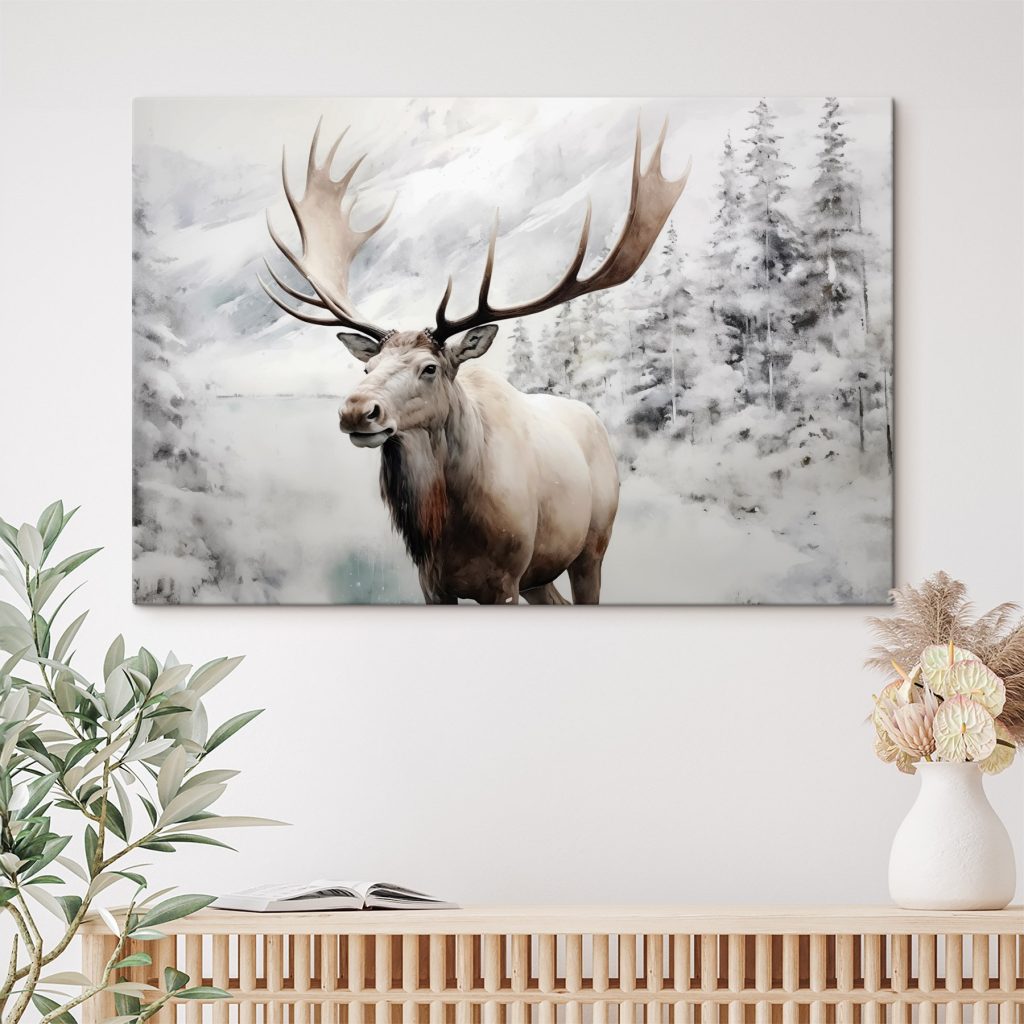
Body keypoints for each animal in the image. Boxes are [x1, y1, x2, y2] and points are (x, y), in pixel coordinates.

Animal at [259, 119, 690, 604]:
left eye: (429, 368)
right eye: (367, 368)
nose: (356, 410)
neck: (451, 529)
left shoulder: (504, 581)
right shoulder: (432, 583)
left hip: (592, 546)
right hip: (541, 574)